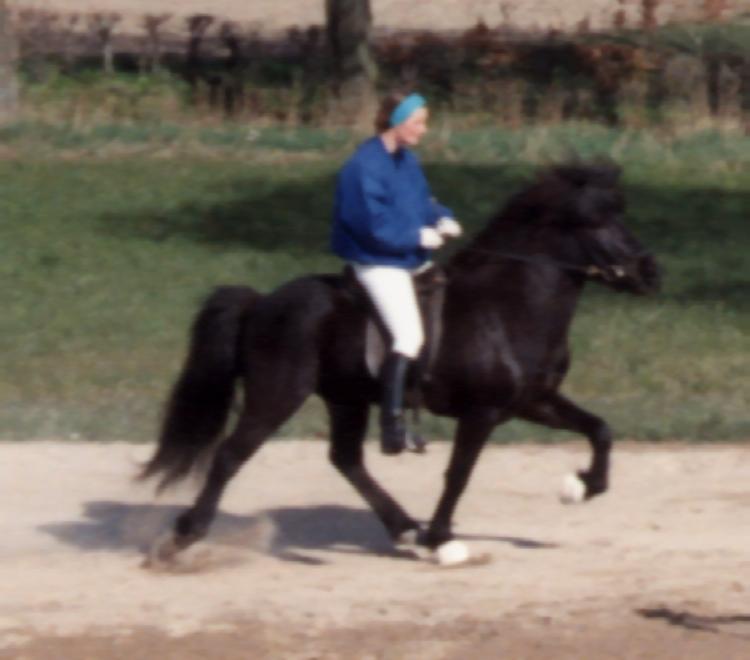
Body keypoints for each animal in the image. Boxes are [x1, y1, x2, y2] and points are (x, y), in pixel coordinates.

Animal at [144, 162, 660, 564]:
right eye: (597, 222)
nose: (652, 273)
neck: (508, 307)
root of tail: (261, 303)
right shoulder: (482, 413)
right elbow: (458, 475)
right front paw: (443, 539)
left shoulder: (534, 401)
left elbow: (600, 430)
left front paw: (583, 485)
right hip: (278, 395)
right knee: (231, 455)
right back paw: (183, 536)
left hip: (346, 399)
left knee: (346, 459)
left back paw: (404, 527)